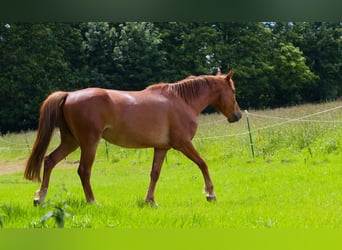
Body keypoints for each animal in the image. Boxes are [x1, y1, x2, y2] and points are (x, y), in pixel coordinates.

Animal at [24, 70, 242, 205]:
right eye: (233, 90)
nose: (238, 115)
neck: (182, 101)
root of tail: (69, 95)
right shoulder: (183, 144)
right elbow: (203, 164)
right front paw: (210, 193)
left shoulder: (161, 148)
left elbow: (155, 174)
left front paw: (150, 200)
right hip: (88, 143)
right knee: (83, 171)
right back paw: (93, 201)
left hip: (71, 141)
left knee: (49, 160)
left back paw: (40, 197)